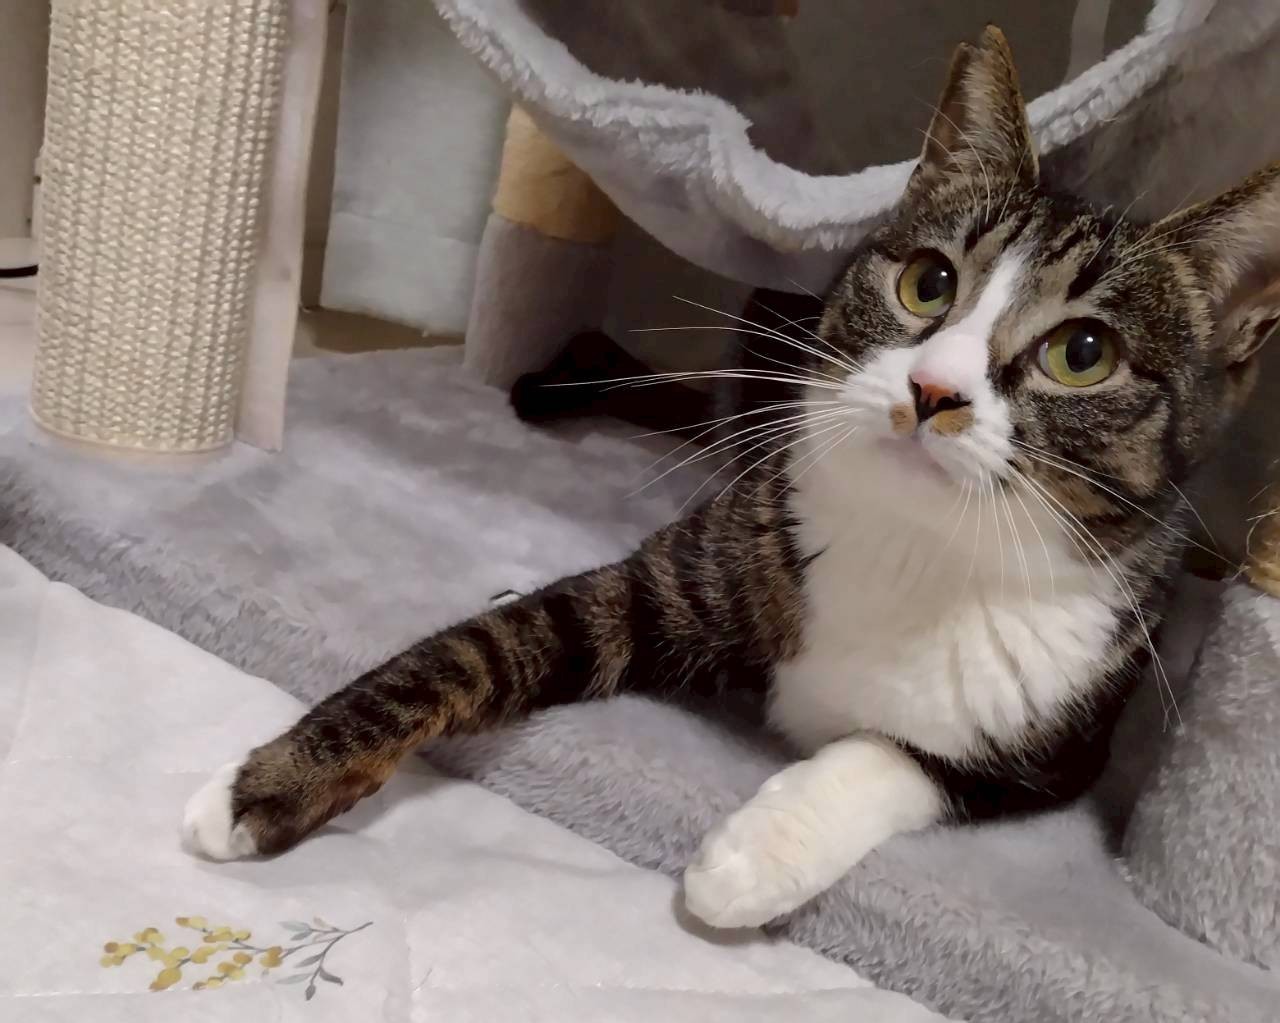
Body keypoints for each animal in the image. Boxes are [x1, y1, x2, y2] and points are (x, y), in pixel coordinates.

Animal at [183, 27, 1280, 929]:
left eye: (1082, 353)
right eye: (926, 283)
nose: (932, 389)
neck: (919, 540)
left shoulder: (1061, 743)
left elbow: (899, 756)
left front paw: (755, 855)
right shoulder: (707, 557)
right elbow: (486, 646)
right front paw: (266, 782)